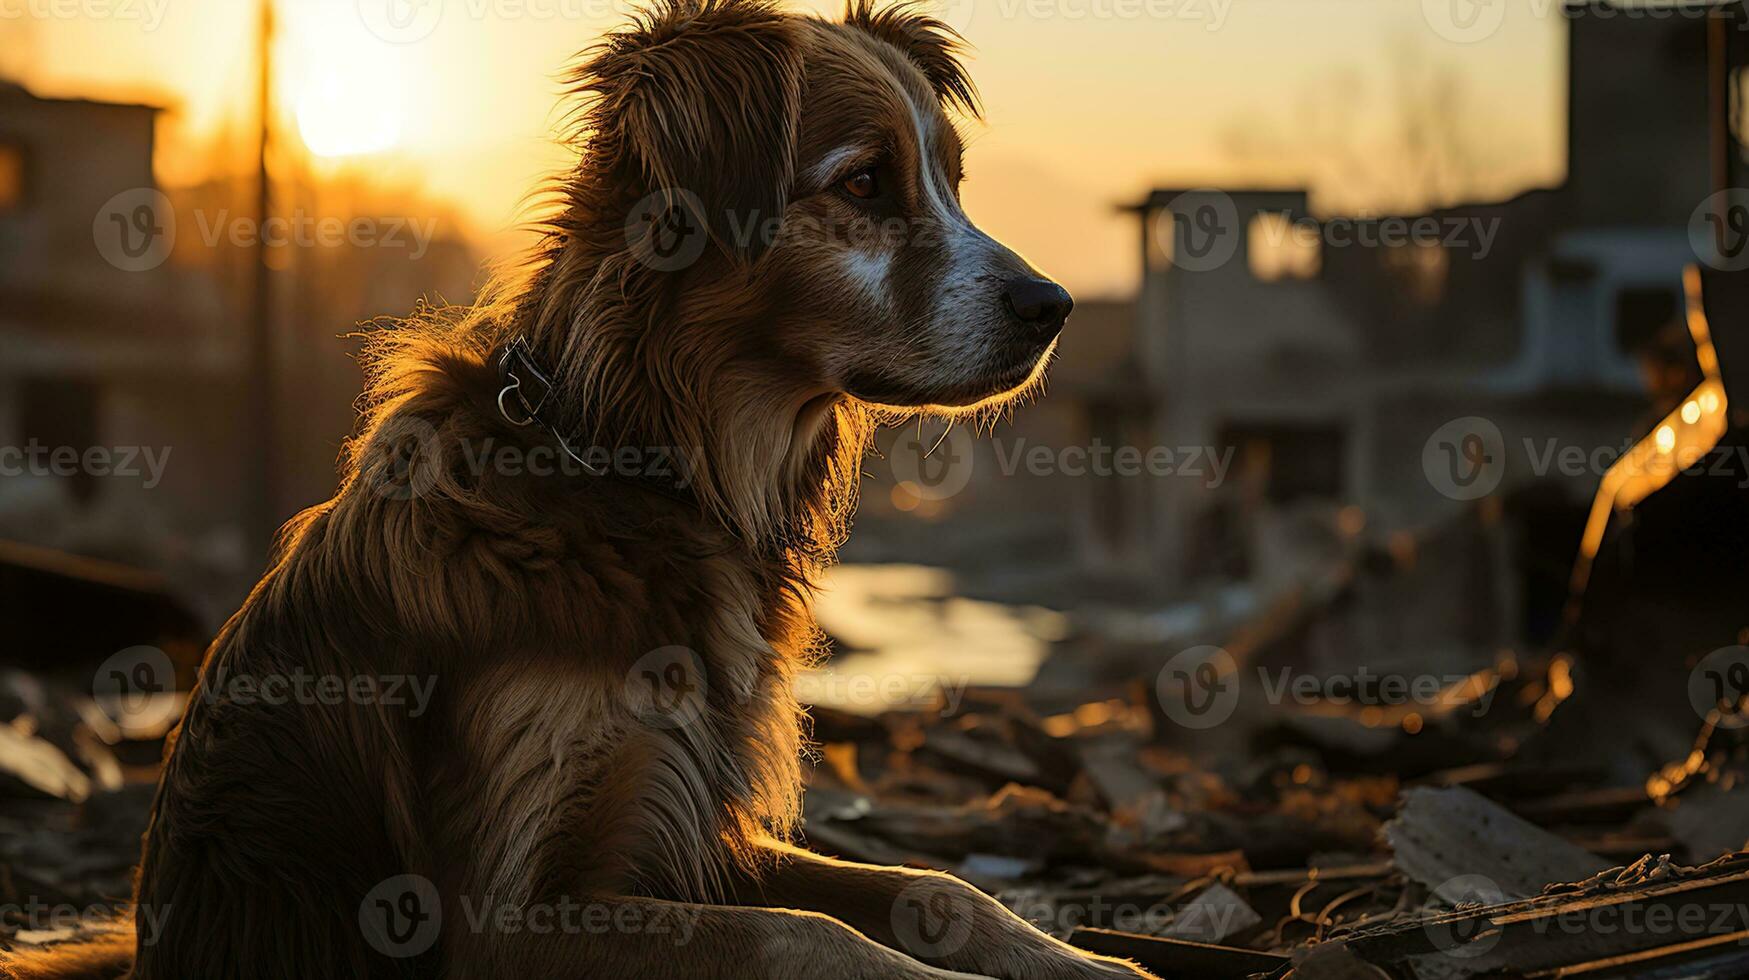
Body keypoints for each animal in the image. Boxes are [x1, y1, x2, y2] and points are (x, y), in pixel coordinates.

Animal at [0, 3, 1161, 973]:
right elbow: (807, 933)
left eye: (952, 180)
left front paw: (1101, 966)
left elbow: (937, 889)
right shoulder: (506, 917)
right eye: (865, 182)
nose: (1053, 307)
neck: (629, 469)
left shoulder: (689, 823)